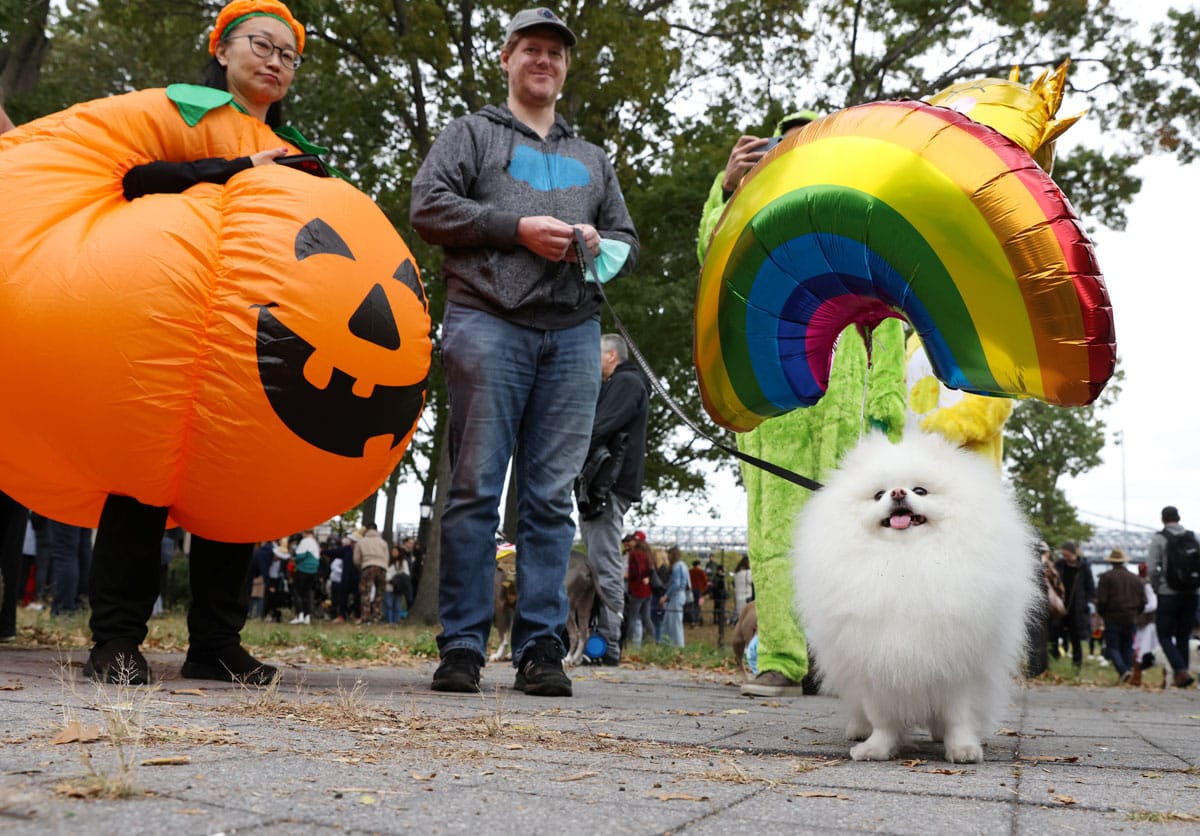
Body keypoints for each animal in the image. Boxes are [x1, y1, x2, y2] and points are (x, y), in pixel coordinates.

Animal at [792, 429, 1036, 762]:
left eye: (920, 490)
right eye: (878, 495)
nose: (897, 493)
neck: (905, 562)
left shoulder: (957, 661)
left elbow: (957, 715)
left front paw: (962, 749)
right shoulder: (873, 660)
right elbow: (881, 717)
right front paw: (875, 748)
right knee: (858, 708)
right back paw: (858, 729)